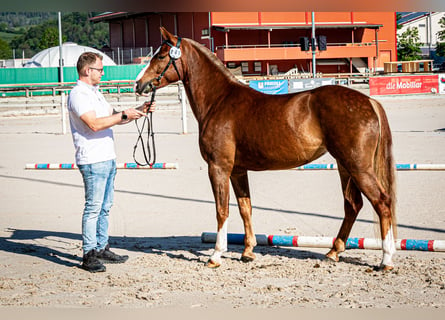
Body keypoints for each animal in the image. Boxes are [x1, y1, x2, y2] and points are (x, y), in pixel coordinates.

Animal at [134, 27, 398, 272]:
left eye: (161, 55)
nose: (139, 84)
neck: (219, 101)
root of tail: (369, 101)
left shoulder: (218, 167)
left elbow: (222, 210)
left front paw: (216, 255)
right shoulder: (238, 171)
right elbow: (245, 208)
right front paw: (248, 252)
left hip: (358, 167)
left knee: (382, 202)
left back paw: (386, 259)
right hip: (345, 167)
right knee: (352, 205)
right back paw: (334, 251)